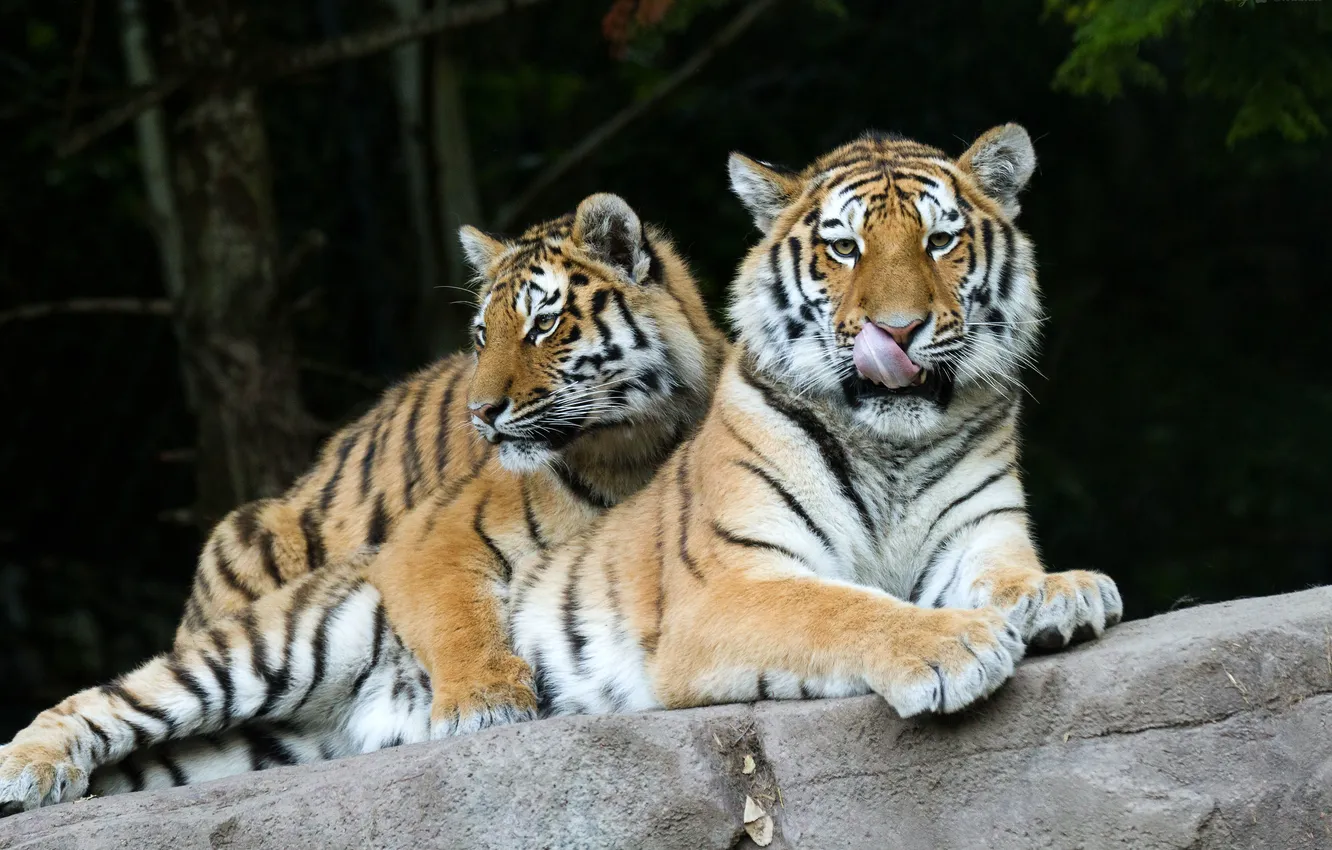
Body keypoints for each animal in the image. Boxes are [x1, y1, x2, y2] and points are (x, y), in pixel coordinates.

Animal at [0, 125, 1123, 813]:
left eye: (941, 241)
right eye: (843, 248)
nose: (896, 329)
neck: (891, 438)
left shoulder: (978, 537)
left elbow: (1012, 577)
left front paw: (1063, 594)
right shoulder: (729, 584)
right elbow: (844, 609)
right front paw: (951, 647)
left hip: (263, 735)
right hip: (270, 645)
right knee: (103, 701)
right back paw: (27, 769)